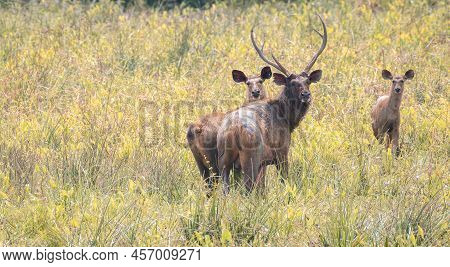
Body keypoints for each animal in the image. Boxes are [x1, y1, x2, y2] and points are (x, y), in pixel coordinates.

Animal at [216, 15, 326, 195]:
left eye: (308, 81)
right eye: (292, 83)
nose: (306, 95)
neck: (288, 121)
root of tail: (232, 131)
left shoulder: (263, 163)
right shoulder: (281, 152)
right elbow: (285, 181)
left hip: (223, 160)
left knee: (225, 189)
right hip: (251, 156)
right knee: (247, 187)